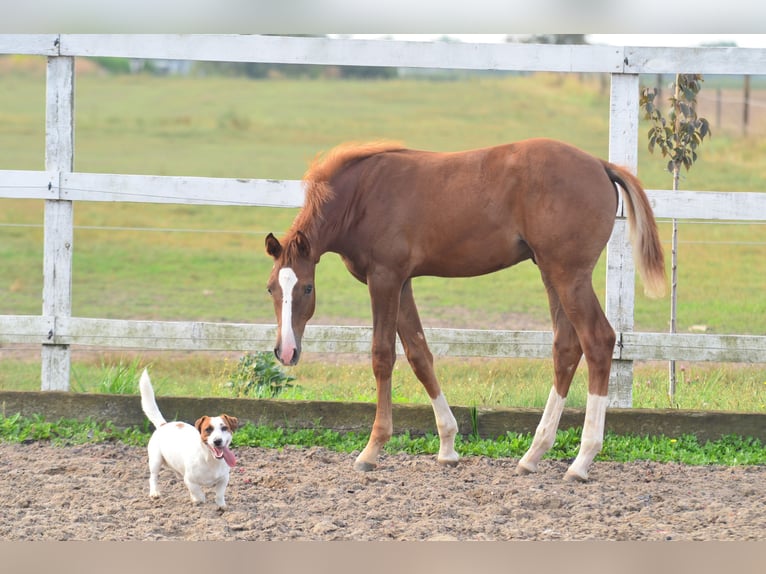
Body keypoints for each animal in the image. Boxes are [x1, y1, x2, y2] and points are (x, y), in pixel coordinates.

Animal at [140, 372, 238, 510]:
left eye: (224, 428)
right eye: (208, 429)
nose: (217, 441)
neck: (210, 459)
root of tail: (163, 425)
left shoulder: (223, 479)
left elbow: (219, 494)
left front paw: (221, 506)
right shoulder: (190, 480)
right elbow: (199, 493)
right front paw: (199, 500)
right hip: (155, 460)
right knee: (153, 477)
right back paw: (155, 493)